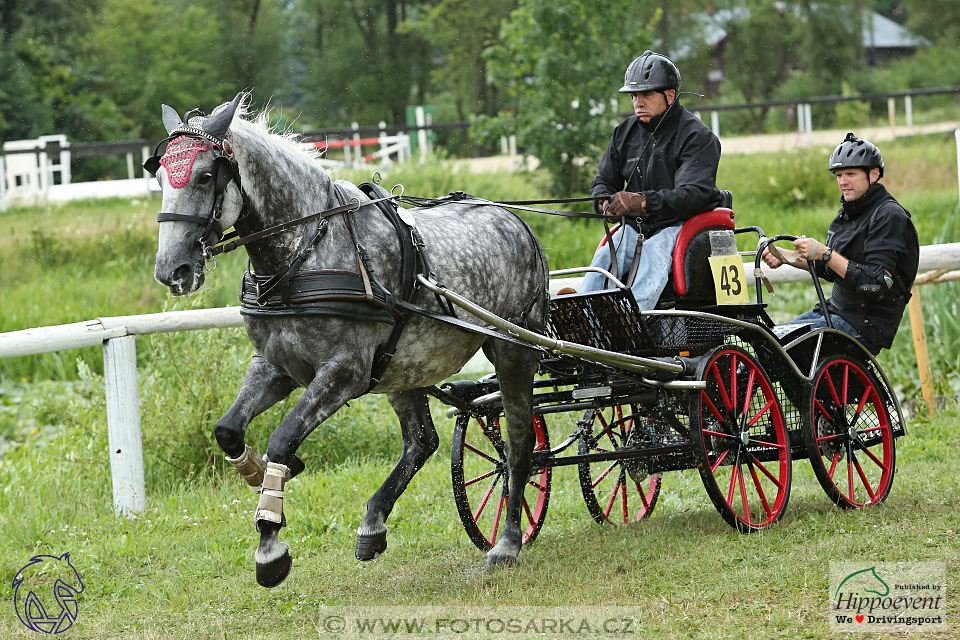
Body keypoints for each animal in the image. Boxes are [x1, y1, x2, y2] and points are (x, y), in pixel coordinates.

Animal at [154, 92, 552, 588]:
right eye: (159, 176)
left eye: (206, 175)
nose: (171, 270)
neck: (304, 253)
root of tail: (516, 221)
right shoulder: (275, 365)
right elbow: (228, 429)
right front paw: (260, 475)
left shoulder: (344, 372)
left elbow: (282, 440)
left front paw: (270, 542)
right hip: (406, 366)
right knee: (421, 441)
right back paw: (374, 523)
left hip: (513, 349)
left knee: (519, 443)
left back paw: (508, 542)